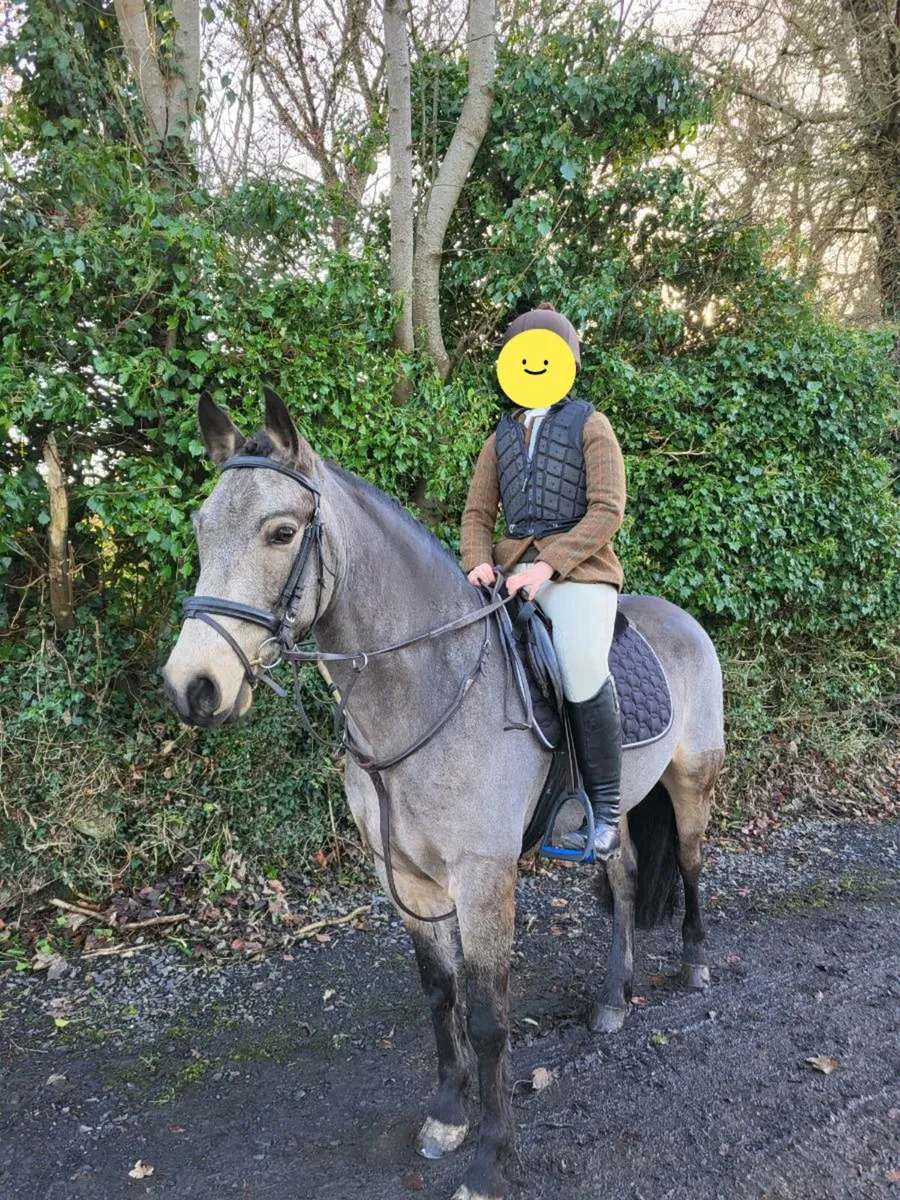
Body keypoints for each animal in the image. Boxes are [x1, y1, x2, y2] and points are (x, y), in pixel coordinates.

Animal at [162, 389, 725, 1200]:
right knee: (621, 880)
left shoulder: (483, 876)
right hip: (610, 816)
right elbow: (440, 992)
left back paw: (694, 965)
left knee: (688, 865)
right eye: (203, 529)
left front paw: (491, 1160)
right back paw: (613, 1001)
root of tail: (683, 620)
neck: (427, 688)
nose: (192, 687)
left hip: (691, 785)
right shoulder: (404, 875)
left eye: (280, 532)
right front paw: (447, 1117)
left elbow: (489, 1016)